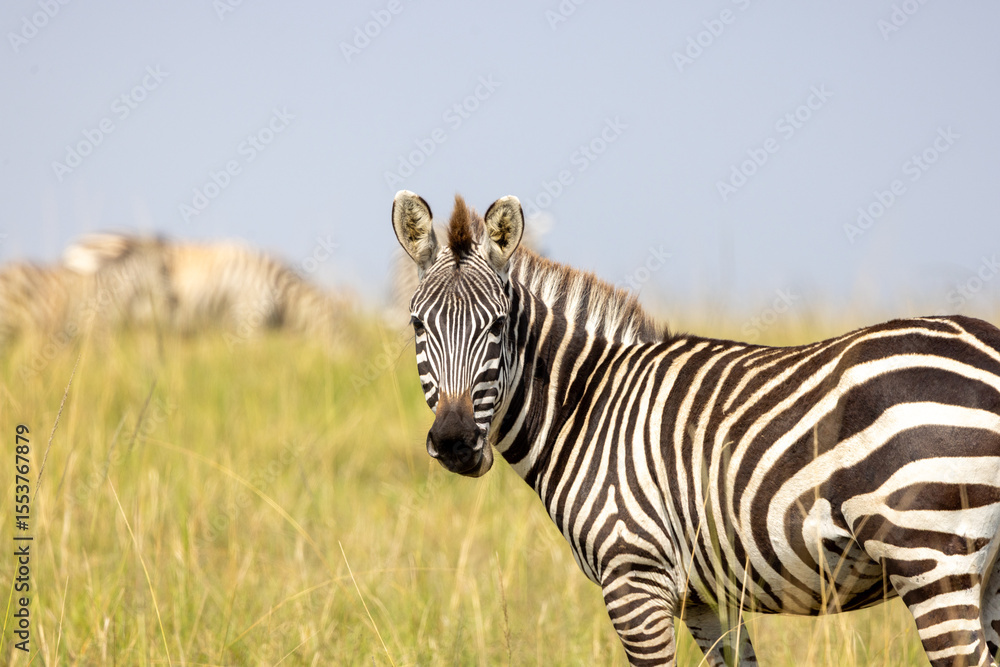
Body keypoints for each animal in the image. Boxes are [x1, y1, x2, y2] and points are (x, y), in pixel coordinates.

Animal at [391, 190, 1000, 667]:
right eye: (417, 325)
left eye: (497, 327)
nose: (454, 444)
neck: (587, 403)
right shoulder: (706, 598)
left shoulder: (635, 579)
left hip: (930, 554)